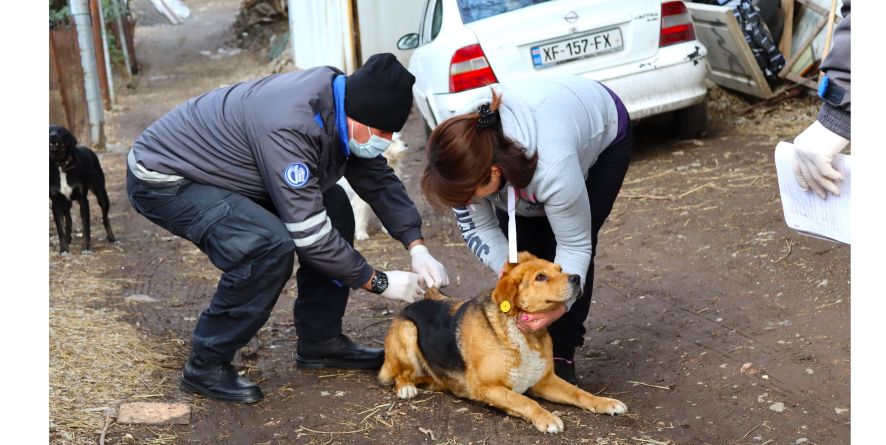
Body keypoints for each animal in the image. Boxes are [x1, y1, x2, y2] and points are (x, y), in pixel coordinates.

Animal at [50, 125, 117, 253]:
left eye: (61, 131)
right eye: (48, 130)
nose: (52, 136)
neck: (61, 165)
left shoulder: (83, 200)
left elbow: (86, 227)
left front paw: (86, 248)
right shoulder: (56, 202)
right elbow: (60, 229)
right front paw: (64, 249)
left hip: (101, 195)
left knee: (105, 218)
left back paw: (112, 237)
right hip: (66, 203)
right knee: (69, 220)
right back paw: (68, 239)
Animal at [378, 251, 628, 432]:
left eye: (559, 269)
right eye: (540, 277)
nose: (577, 277)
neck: (524, 335)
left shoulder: (544, 381)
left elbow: (579, 393)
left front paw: (604, 402)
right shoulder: (489, 388)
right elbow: (526, 401)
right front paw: (546, 418)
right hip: (408, 331)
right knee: (396, 374)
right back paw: (406, 387)